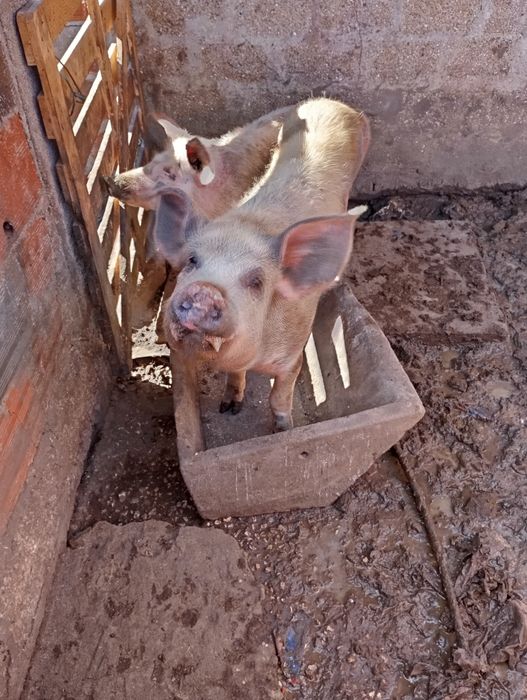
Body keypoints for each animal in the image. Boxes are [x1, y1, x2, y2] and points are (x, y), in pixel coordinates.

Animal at [154, 97, 370, 431]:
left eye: (256, 282)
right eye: (192, 260)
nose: (205, 290)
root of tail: (330, 102)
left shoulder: (294, 354)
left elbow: (279, 395)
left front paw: (284, 429)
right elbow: (234, 377)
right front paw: (229, 409)